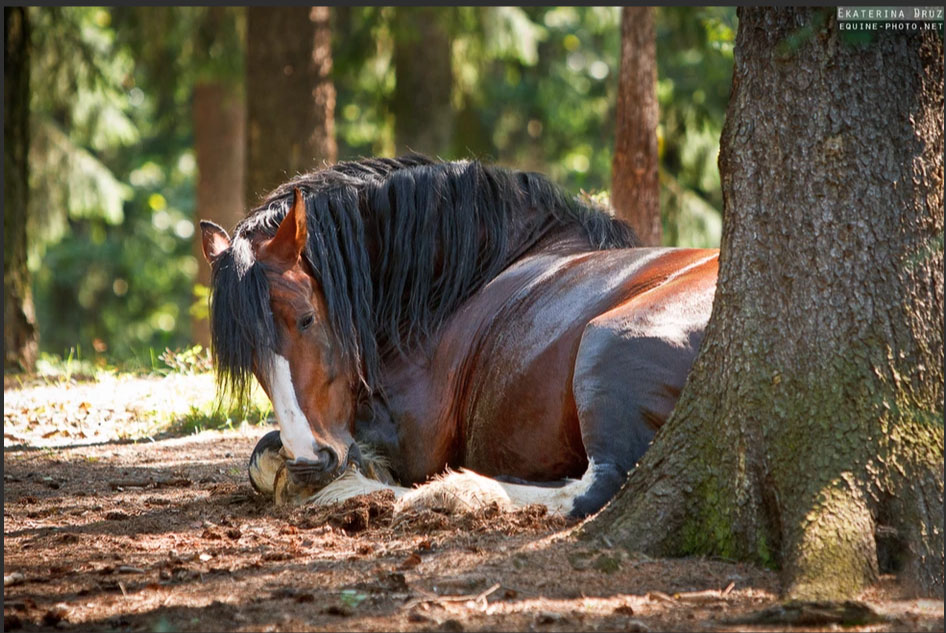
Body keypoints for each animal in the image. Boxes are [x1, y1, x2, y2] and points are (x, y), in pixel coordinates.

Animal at [199, 154, 716, 520]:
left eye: (306, 319)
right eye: (250, 356)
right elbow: (261, 456)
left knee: (598, 485)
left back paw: (446, 493)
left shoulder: (414, 439)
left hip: (607, 346)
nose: (310, 462)